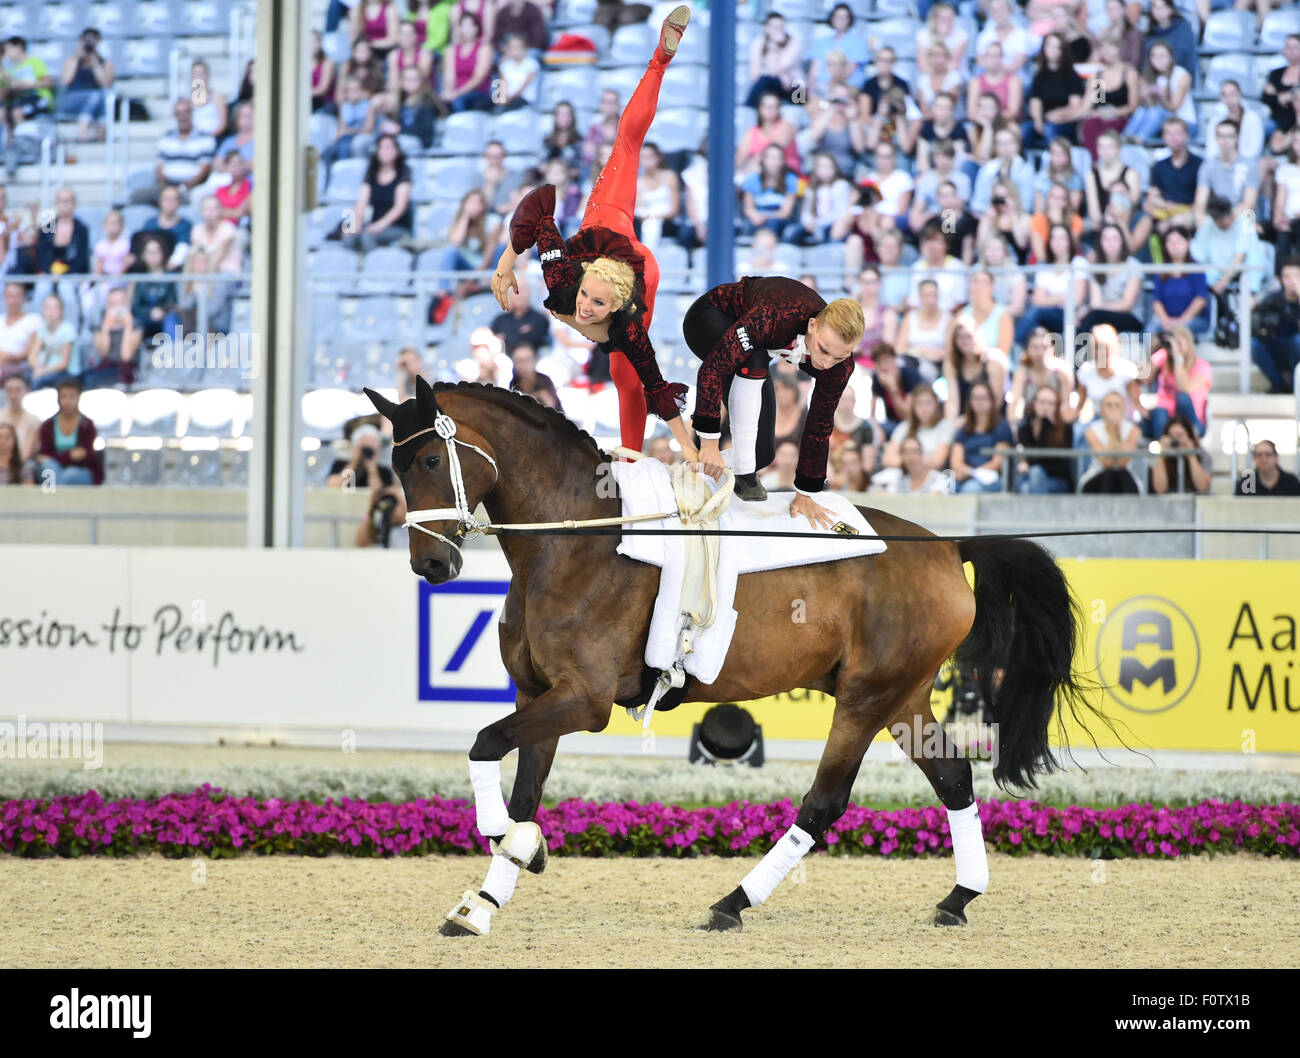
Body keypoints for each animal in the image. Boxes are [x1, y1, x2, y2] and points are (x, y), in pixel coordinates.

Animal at [364, 382, 1097, 935]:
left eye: (429, 462)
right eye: (395, 468)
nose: (431, 566)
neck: (576, 541)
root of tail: (947, 546)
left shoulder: (584, 700)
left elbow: (486, 747)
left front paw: (510, 845)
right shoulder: (538, 695)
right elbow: (524, 790)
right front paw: (485, 901)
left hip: (866, 699)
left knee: (824, 801)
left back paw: (733, 902)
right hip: (904, 697)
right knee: (952, 778)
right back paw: (958, 898)